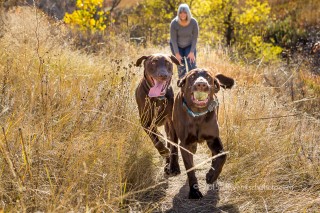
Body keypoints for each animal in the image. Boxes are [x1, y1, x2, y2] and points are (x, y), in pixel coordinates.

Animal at [172, 68, 235, 198]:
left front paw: (211, 176)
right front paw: (194, 191)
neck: (197, 115)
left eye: (208, 77)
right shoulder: (185, 144)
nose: (201, 84)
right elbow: (190, 168)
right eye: (192, 76)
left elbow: (222, 155)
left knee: (215, 155)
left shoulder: (213, 138)